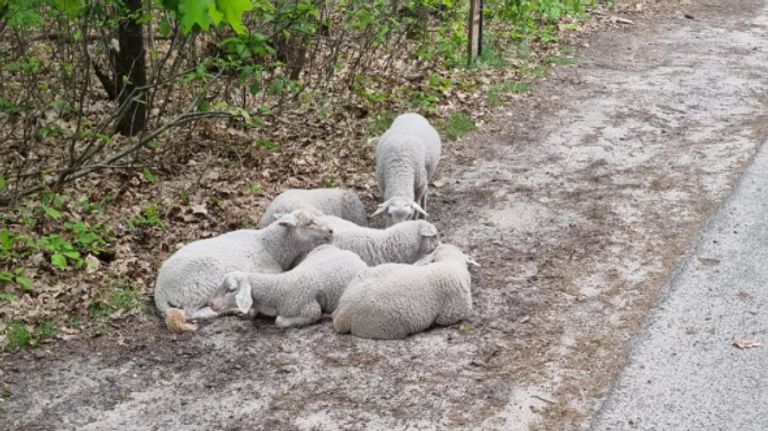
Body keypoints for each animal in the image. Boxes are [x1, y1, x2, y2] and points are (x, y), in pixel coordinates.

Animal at [154, 211, 332, 332]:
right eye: (309, 223)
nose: (331, 231)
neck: (270, 247)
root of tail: (160, 287)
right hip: (199, 284)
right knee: (191, 312)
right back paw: (232, 310)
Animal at [207, 245, 368, 330]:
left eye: (231, 289)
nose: (210, 303)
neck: (278, 289)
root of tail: (350, 253)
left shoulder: (311, 310)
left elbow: (278, 321)